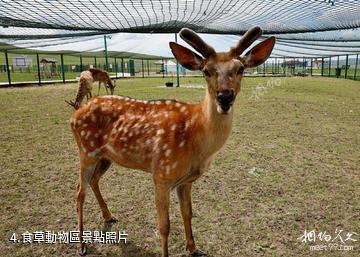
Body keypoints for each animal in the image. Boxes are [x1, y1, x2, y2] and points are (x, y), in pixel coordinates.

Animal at [69, 26, 274, 256]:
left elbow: (188, 213)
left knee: (94, 181)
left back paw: (109, 216)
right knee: (79, 192)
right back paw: (81, 244)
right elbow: (164, 226)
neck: (196, 143)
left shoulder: (186, 181)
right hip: (86, 151)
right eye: (206, 71)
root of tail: (74, 115)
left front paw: (194, 248)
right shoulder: (161, 174)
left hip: (106, 157)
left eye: (240, 69)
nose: (225, 97)